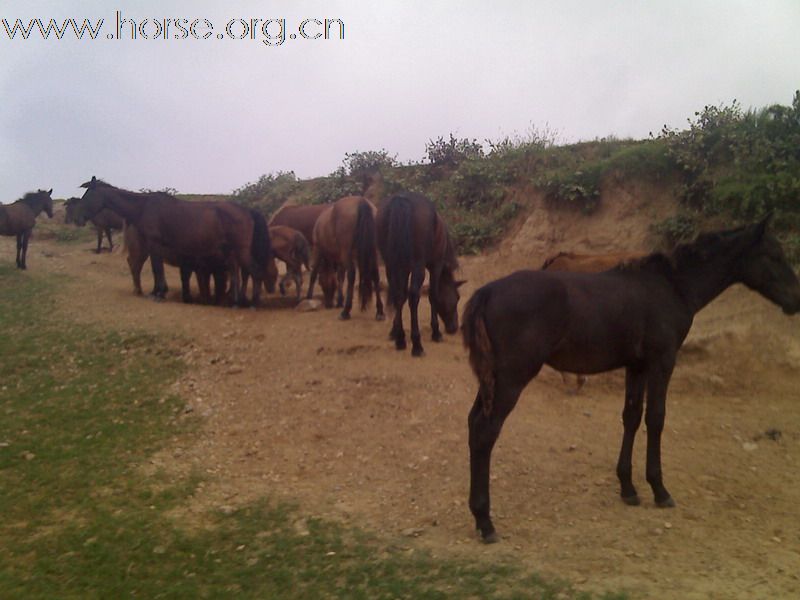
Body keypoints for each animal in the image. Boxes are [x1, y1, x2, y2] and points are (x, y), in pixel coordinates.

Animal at [462, 217, 800, 544]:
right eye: (773, 255)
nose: (795, 300)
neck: (673, 286)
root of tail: (487, 292)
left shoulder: (636, 367)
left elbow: (632, 417)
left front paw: (628, 487)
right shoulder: (662, 362)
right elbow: (656, 418)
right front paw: (659, 490)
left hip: (492, 380)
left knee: (473, 423)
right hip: (511, 379)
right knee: (486, 431)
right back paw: (485, 521)